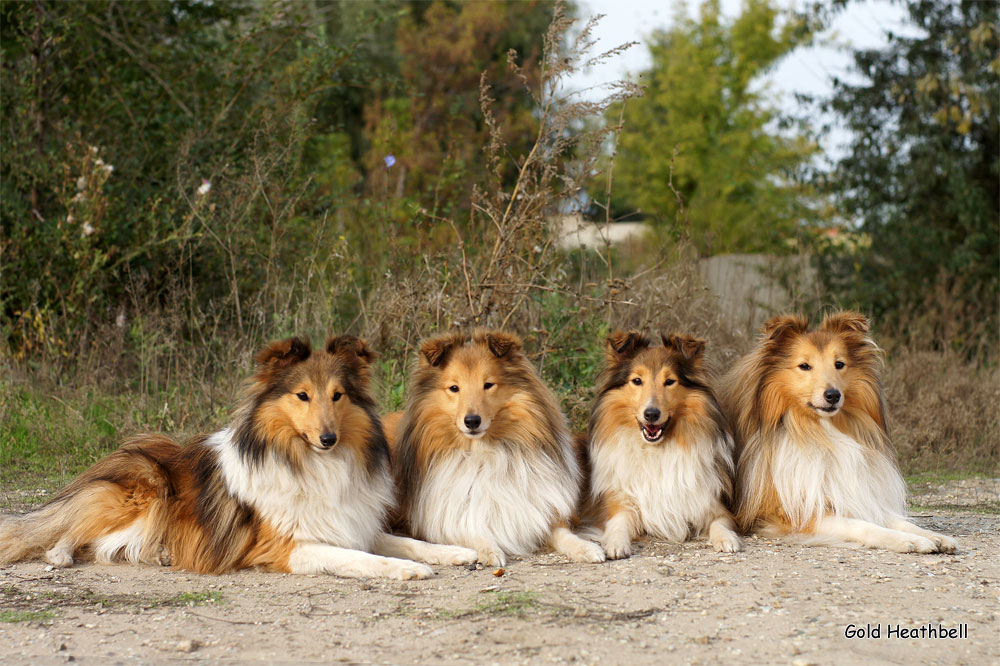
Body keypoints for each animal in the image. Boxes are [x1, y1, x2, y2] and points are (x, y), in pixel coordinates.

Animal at [584, 330, 744, 556]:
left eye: (669, 381)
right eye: (637, 380)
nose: (651, 414)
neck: (656, 451)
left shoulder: (713, 505)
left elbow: (719, 523)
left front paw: (726, 539)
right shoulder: (621, 501)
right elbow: (618, 523)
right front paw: (615, 543)